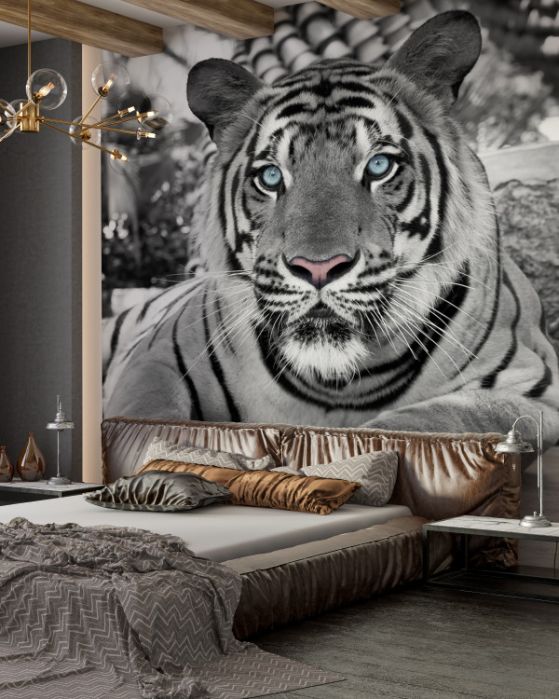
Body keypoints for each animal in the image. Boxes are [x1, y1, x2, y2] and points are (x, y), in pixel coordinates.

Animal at [103, 11, 559, 444]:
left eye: (379, 165)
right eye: (271, 176)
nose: (317, 269)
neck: (340, 384)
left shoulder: (533, 389)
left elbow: (425, 423)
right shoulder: (157, 359)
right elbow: (145, 426)